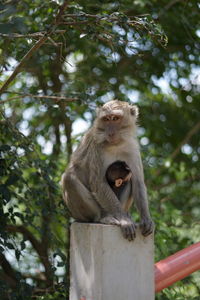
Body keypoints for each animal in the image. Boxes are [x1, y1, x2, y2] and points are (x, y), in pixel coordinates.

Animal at [61, 99, 154, 240]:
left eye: (115, 118)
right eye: (106, 119)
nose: (110, 132)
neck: (116, 145)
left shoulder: (132, 148)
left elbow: (138, 182)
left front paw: (146, 219)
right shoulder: (96, 147)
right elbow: (98, 183)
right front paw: (124, 221)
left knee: (130, 178)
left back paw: (125, 214)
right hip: (78, 213)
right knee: (69, 179)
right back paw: (103, 217)